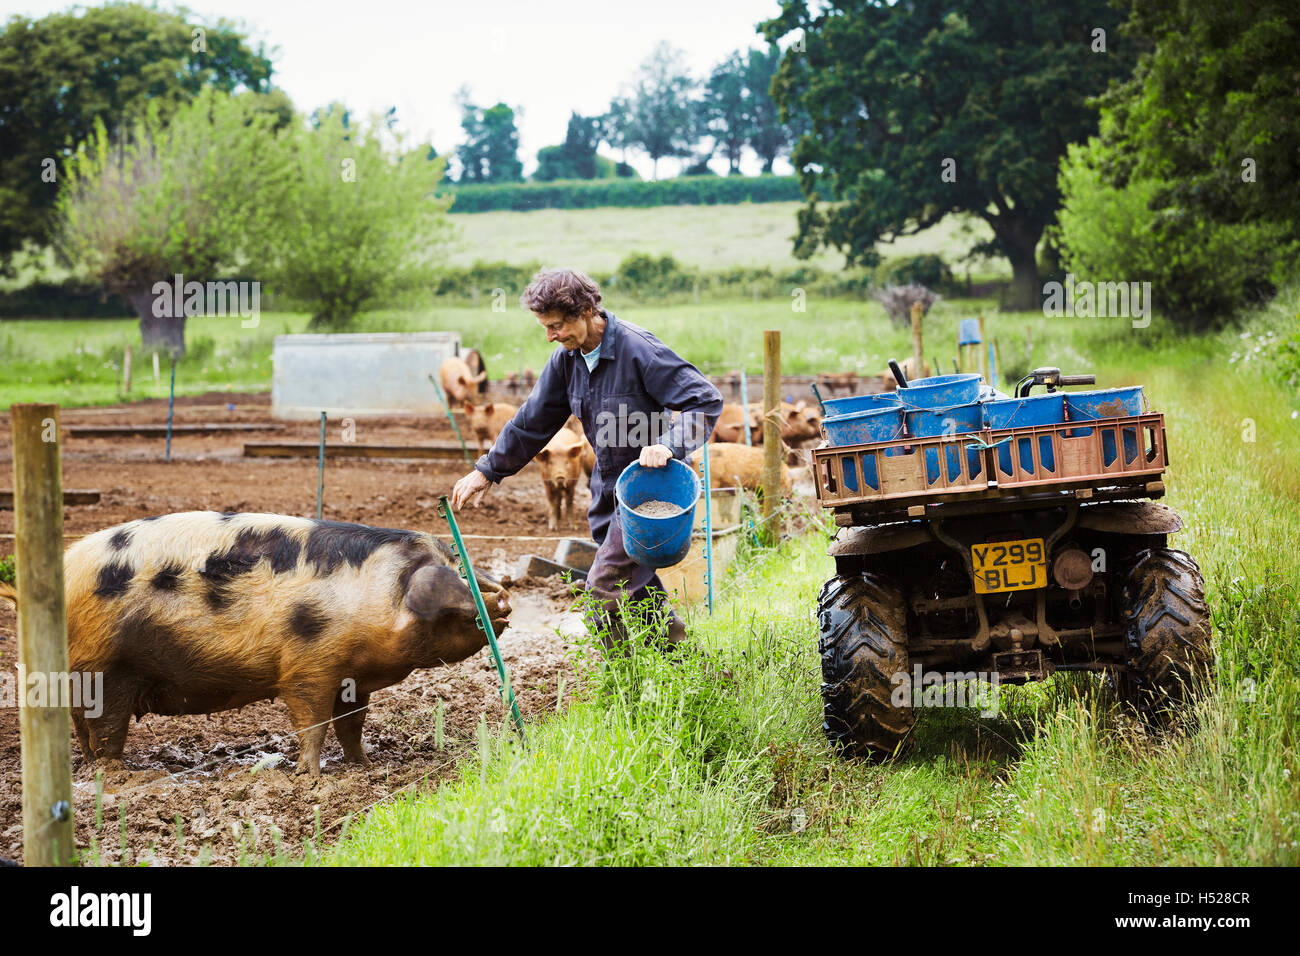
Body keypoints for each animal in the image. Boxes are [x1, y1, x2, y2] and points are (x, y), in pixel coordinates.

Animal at [0, 515, 506, 780]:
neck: (378, 598)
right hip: (107, 668)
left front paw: (364, 766)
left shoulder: (353, 678)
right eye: (463, 601)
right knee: (105, 727)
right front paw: (310, 777)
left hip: (81, 672)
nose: (503, 601)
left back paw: (90, 769)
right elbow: (311, 720)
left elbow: (352, 724)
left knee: (80, 726)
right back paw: (119, 776)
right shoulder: (309, 661)